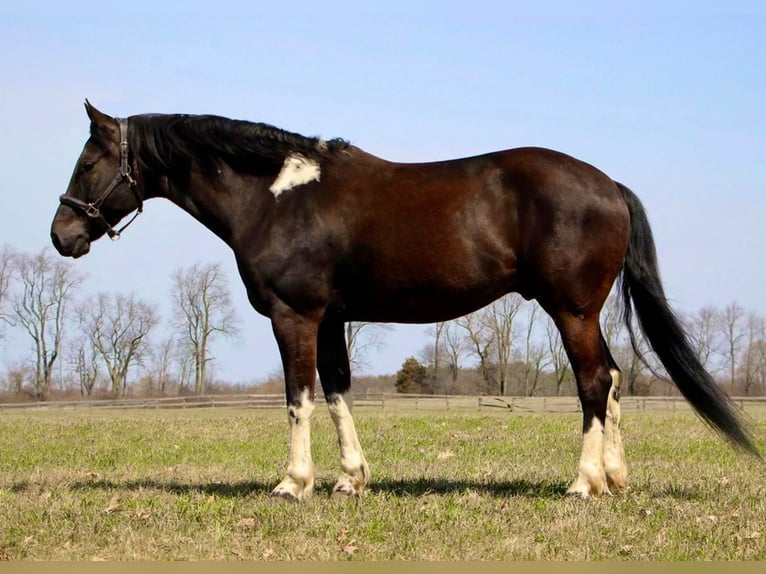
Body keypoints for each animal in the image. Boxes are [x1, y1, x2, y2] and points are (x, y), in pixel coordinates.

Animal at [49, 101, 760, 502]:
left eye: (88, 161)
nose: (61, 236)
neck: (277, 197)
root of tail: (609, 184)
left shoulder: (294, 316)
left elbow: (298, 397)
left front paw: (293, 483)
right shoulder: (332, 319)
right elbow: (338, 391)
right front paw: (349, 480)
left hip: (571, 311)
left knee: (591, 383)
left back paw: (583, 485)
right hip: (584, 313)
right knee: (611, 380)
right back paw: (614, 479)